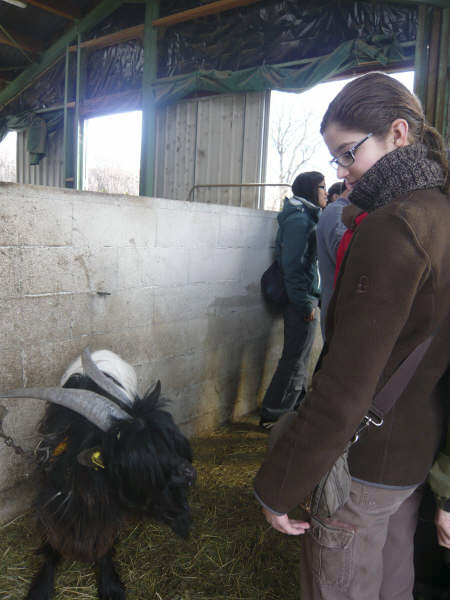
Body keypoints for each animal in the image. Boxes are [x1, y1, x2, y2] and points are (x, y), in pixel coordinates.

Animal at [0, 348, 196, 600]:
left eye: (170, 442)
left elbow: (106, 537)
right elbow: (51, 539)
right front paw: (40, 588)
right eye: (135, 459)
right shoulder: (54, 492)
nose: (189, 473)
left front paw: (110, 585)